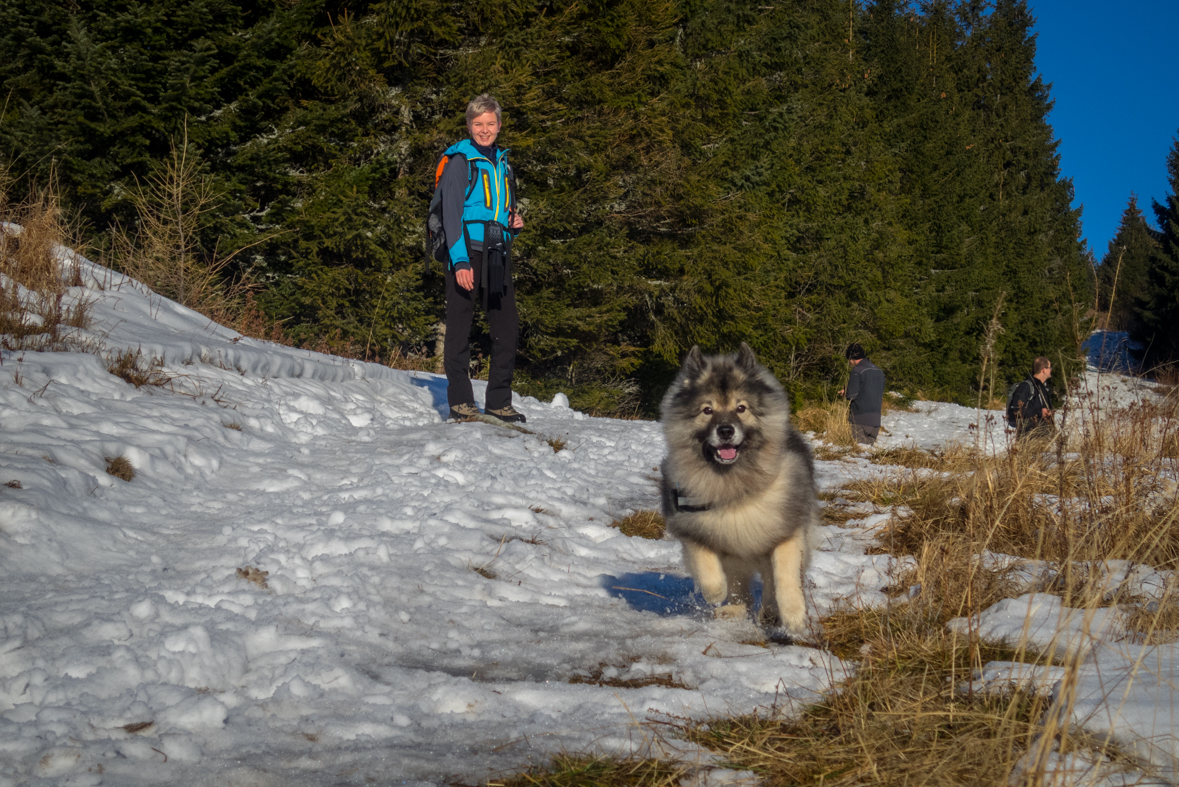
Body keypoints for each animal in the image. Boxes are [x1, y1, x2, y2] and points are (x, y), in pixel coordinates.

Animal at [660, 341, 815, 631]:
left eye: (741, 408)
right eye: (707, 410)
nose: (725, 431)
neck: (734, 487)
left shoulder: (787, 531)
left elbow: (785, 575)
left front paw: (794, 616)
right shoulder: (691, 527)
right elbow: (706, 564)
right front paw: (715, 593)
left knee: (769, 582)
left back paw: (770, 614)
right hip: (735, 561)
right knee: (739, 589)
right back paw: (733, 610)